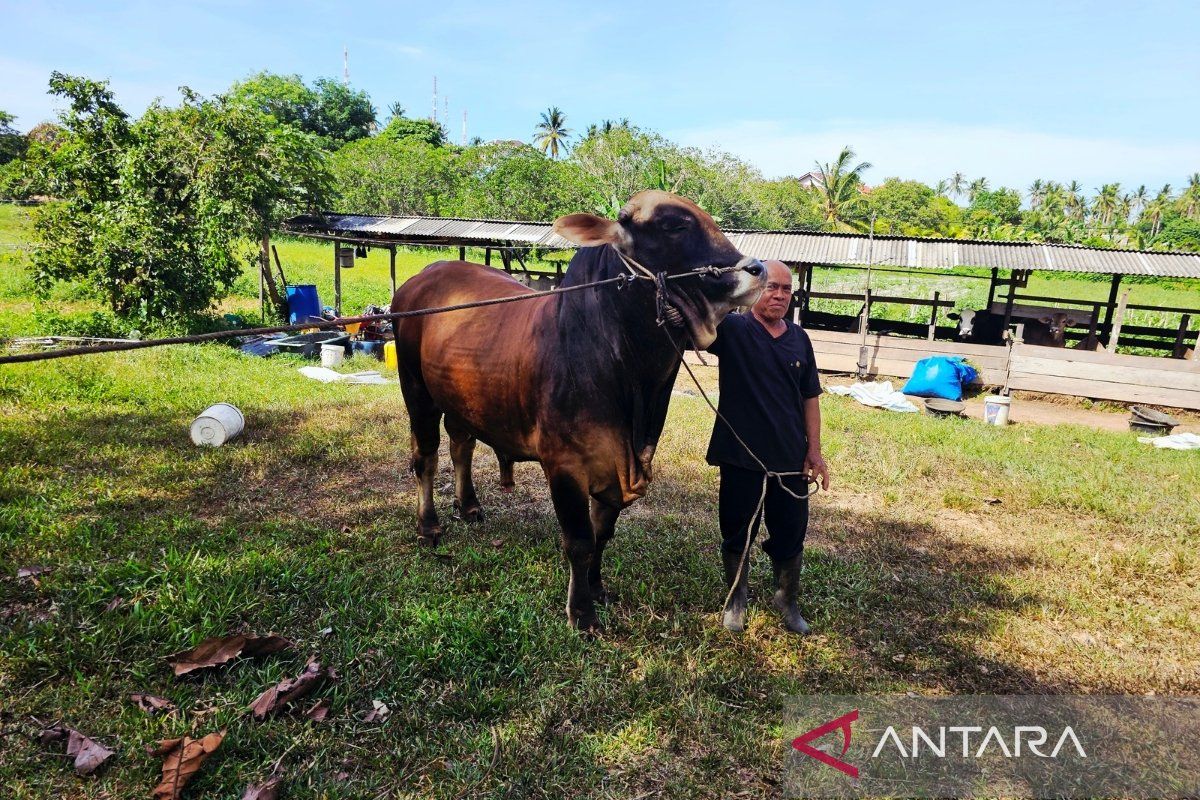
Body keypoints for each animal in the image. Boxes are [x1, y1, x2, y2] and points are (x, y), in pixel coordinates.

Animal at [389, 191, 767, 633]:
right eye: (675, 225)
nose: (757, 270)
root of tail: (423, 275)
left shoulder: (617, 465)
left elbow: (602, 534)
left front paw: (598, 589)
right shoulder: (564, 465)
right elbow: (580, 540)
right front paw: (582, 612)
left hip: (462, 399)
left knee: (461, 444)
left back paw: (469, 506)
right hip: (417, 392)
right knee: (425, 458)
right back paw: (429, 526)